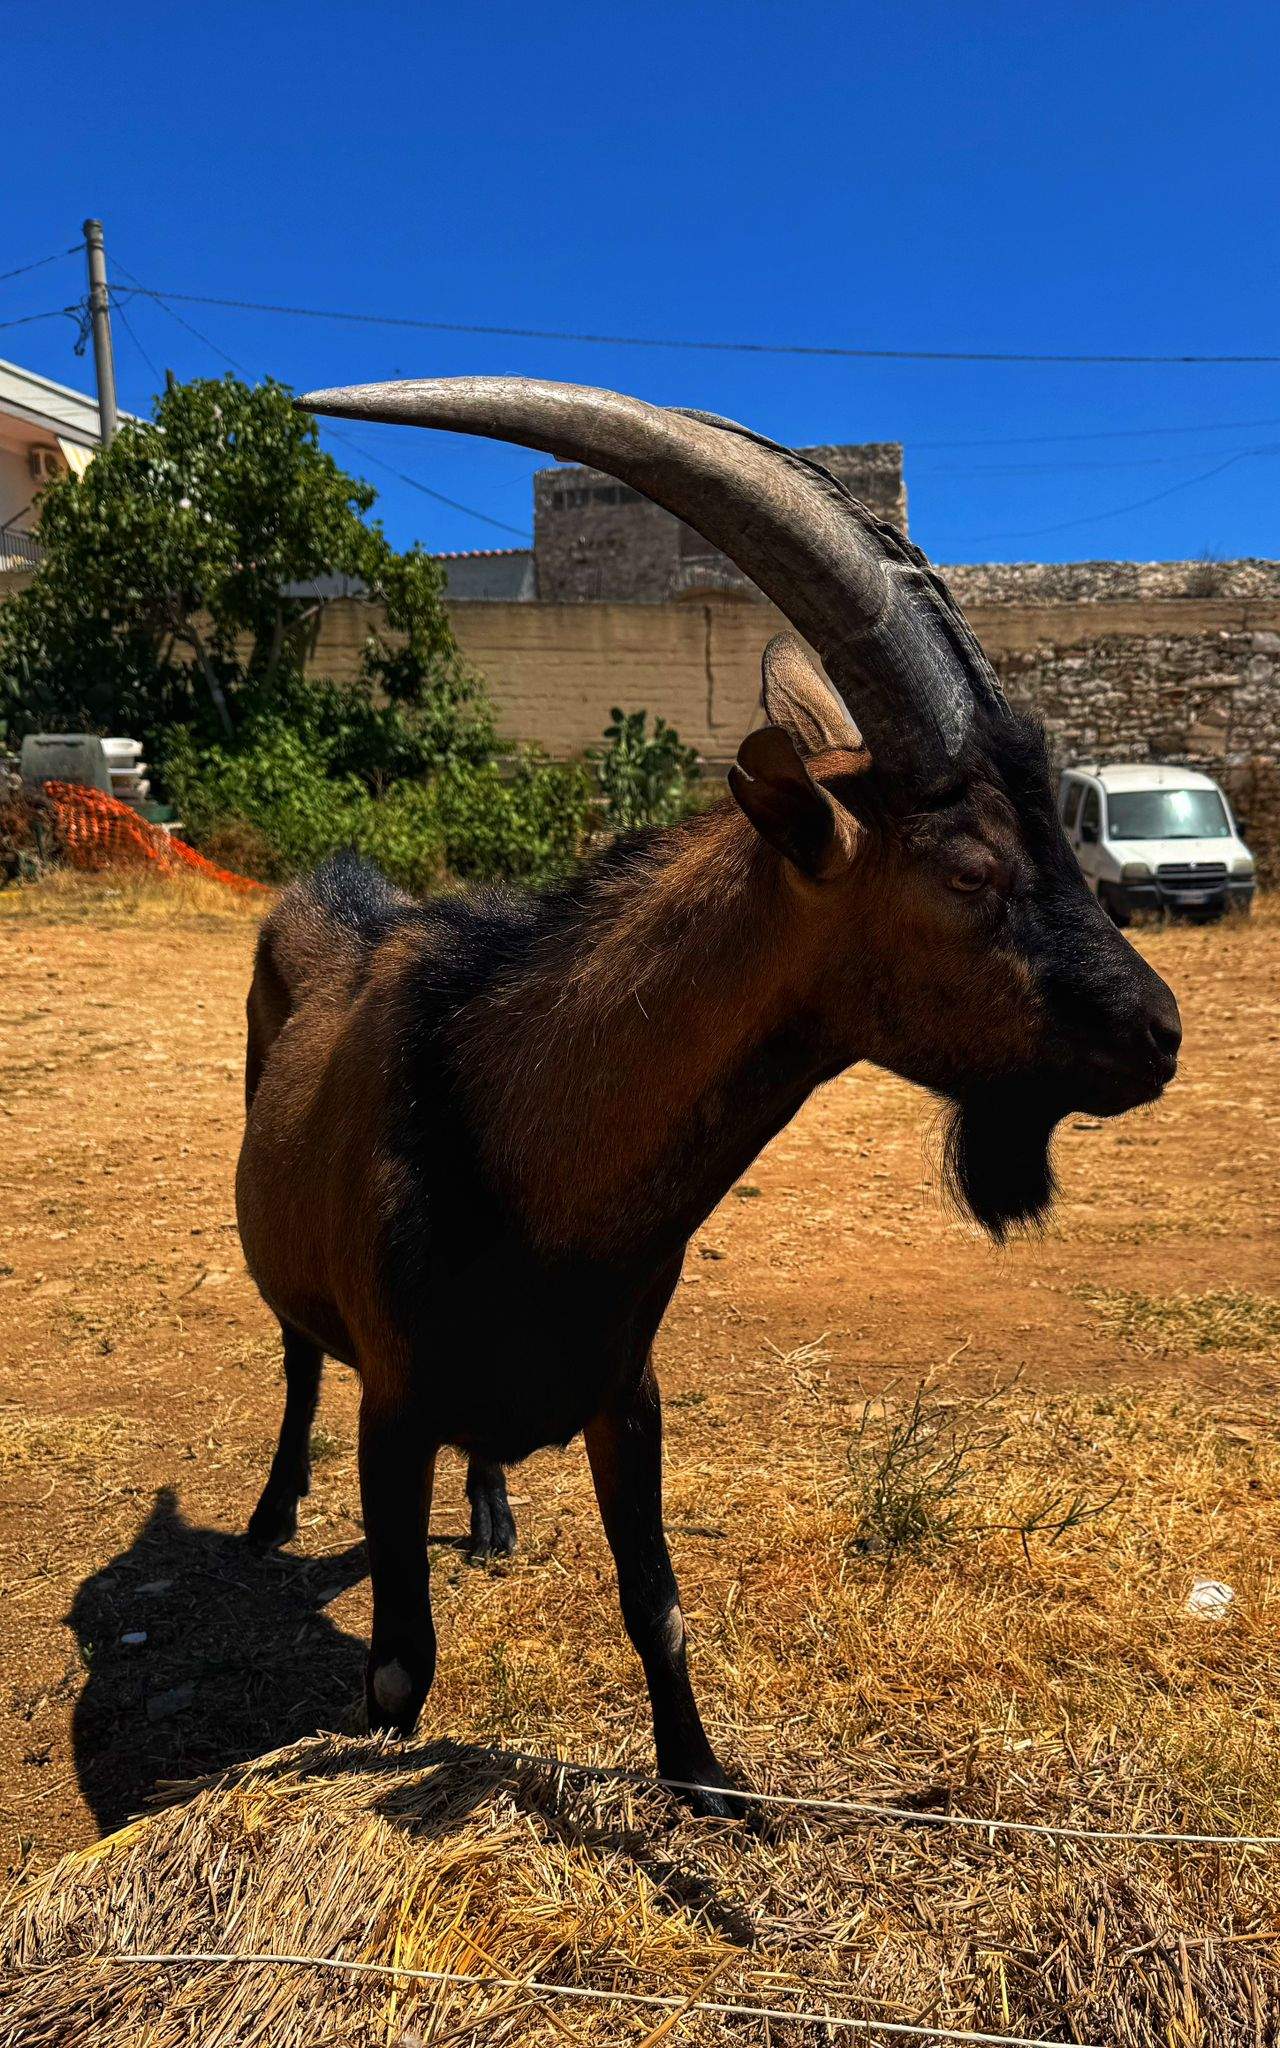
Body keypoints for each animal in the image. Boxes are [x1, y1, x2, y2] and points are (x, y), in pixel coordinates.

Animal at [236, 379, 1181, 1812]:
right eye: (968, 870)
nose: (1157, 1032)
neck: (523, 1138)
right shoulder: (391, 1407)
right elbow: (400, 1667)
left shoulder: (626, 1391)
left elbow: (656, 1601)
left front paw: (706, 1780)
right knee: (294, 1360)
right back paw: (271, 1511)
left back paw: (494, 1514)